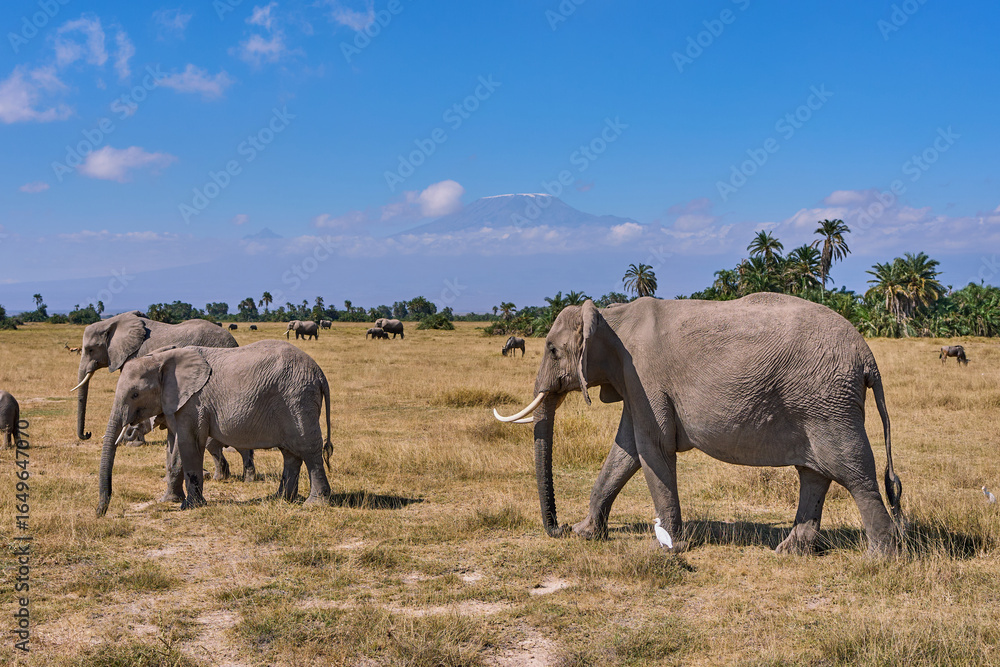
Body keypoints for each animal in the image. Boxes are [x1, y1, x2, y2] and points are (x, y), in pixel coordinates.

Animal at [71, 311, 256, 483]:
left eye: (90, 349)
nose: (87, 433)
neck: (113, 321)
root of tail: (234, 342)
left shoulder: (135, 357)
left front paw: (131, 442)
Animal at [96, 340, 334, 516]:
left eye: (135, 394)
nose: (101, 512)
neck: (162, 359)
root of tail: (320, 374)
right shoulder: (176, 404)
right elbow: (174, 450)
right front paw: (169, 501)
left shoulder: (194, 403)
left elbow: (189, 444)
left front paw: (190, 507)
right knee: (290, 453)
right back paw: (282, 498)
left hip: (298, 399)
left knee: (309, 449)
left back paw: (315, 504)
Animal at [494, 294, 902, 556]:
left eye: (552, 350)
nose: (558, 528)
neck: (611, 315)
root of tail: (867, 356)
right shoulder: (634, 380)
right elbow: (626, 452)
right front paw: (586, 534)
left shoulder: (644, 375)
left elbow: (651, 449)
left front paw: (670, 548)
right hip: (818, 402)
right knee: (815, 474)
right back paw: (788, 552)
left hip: (828, 402)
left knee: (853, 473)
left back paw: (881, 559)